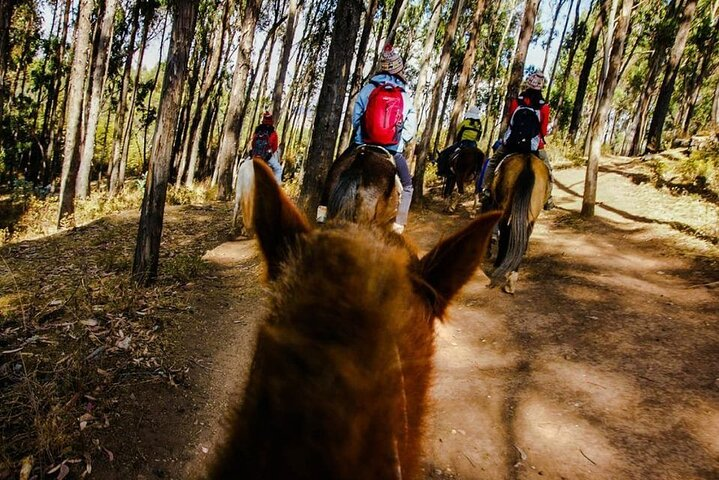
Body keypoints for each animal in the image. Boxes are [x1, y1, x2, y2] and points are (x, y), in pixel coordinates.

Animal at [485, 152, 550, 294]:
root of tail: (527, 162)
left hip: (504, 209)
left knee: (505, 234)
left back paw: (503, 270)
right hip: (531, 214)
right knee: (523, 236)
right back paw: (512, 276)